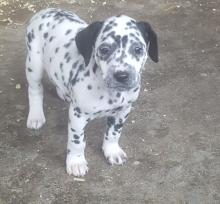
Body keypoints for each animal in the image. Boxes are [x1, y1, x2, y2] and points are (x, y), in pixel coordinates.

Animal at [25, 7, 158, 177]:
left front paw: (112, 151)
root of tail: (46, 10)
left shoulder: (123, 111)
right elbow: (77, 141)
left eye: (138, 49)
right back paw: (35, 116)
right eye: (104, 49)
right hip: (34, 64)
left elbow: (114, 133)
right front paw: (76, 162)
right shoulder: (77, 116)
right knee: (35, 90)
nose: (122, 76)